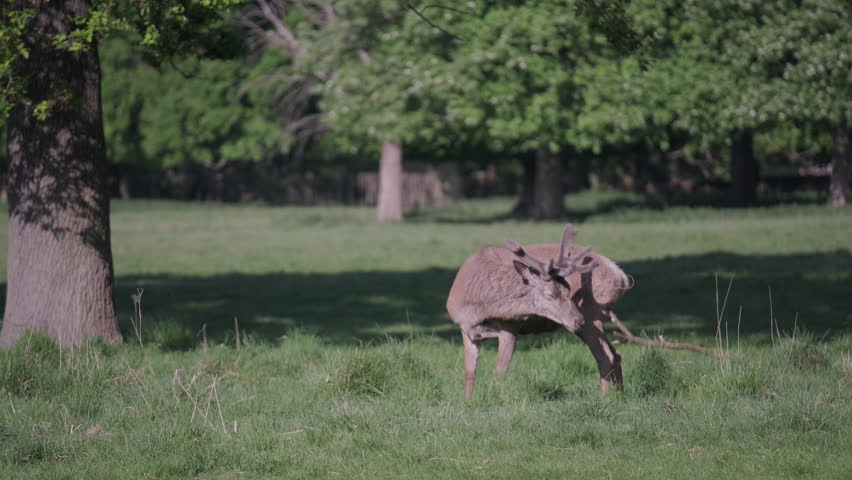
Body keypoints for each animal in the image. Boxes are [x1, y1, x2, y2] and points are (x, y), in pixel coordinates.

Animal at [446, 224, 631, 400]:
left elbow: (500, 371)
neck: (476, 309)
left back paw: (604, 400)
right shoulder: (466, 330)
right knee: (616, 354)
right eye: (550, 294)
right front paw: (468, 402)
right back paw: (620, 395)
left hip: (592, 314)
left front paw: (500, 401)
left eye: (568, 290)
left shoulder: (510, 326)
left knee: (605, 357)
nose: (578, 319)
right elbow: (469, 372)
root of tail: (621, 277)